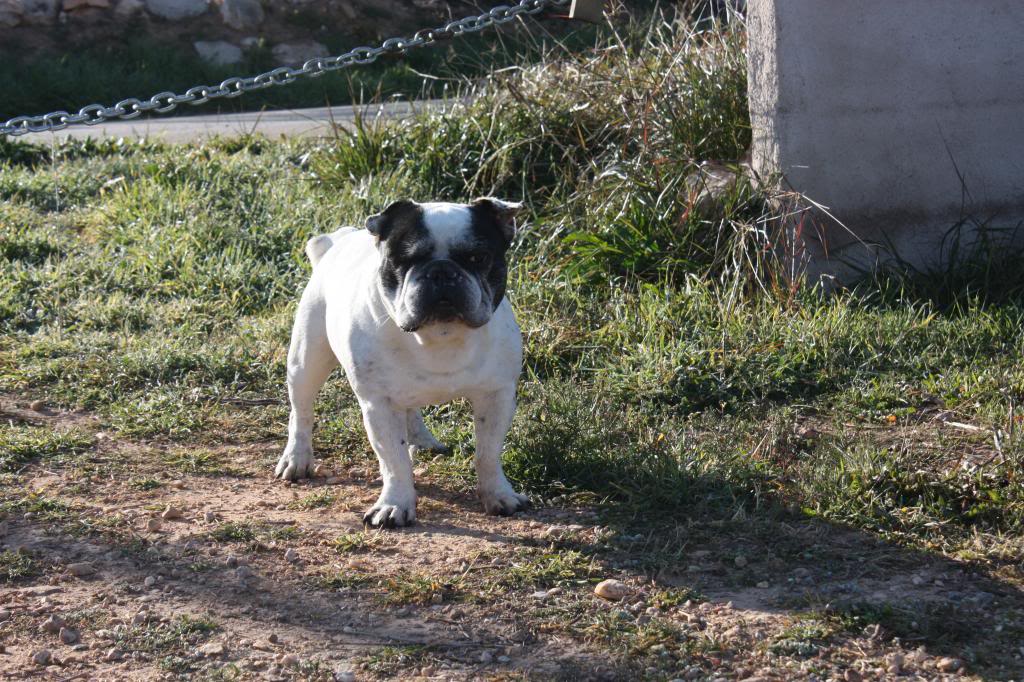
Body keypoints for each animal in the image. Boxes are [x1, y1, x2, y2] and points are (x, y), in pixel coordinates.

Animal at [272, 196, 528, 524]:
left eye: (478, 257)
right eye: (405, 260)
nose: (441, 271)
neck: (439, 336)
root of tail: (336, 243)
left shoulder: (496, 396)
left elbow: (488, 453)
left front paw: (499, 494)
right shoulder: (380, 405)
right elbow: (394, 461)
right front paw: (395, 504)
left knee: (412, 409)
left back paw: (422, 439)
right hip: (307, 361)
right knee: (301, 412)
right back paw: (297, 458)